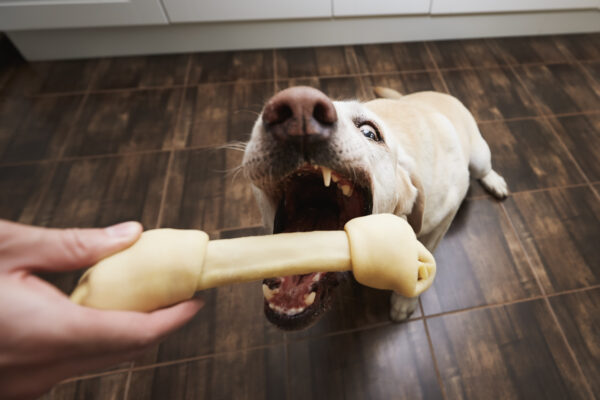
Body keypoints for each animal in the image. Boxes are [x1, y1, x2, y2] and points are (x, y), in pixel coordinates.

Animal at [240, 86, 506, 330]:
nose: (299, 104)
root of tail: (439, 93)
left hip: (479, 159)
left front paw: (404, 301)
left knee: (485, 169)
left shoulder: (441, 221)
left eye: (370, 132)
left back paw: (495, 181)